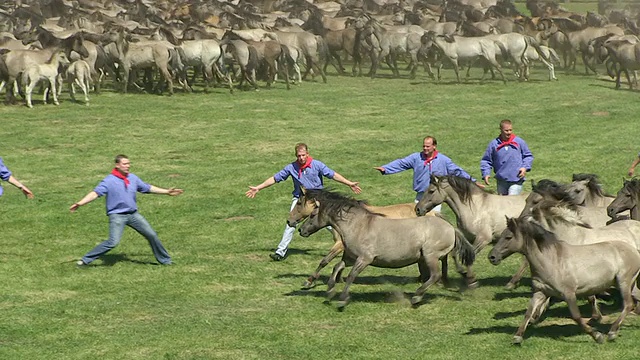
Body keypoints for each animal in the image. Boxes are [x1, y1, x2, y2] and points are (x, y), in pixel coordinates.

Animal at [490, 217, 640, 346]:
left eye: (508, 237)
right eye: (501, 235)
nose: (492, 257)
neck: (552, 260)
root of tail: (634, 250)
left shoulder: (569, 294)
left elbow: (576, 316)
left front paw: (598, 336)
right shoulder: (541, 292)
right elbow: (528, 313)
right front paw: (517, 337)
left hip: (623, 282)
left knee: (628, 304)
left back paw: (612, 332)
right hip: (627, 284)